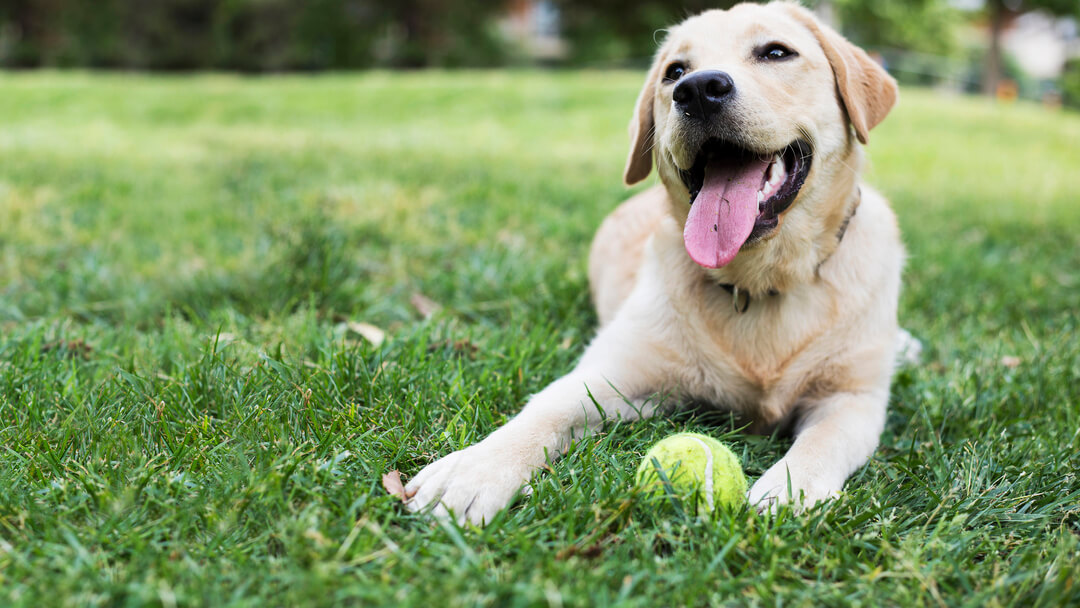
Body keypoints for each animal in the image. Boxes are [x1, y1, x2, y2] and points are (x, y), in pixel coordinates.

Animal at [401, 0, 907, 524]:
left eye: (775, 52)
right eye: (675, 72)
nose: (698, 90)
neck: (757, 281)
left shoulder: (853, 399)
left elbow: (823, 441)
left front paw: (789, 490)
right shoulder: (616, 374)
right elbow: (547, 408)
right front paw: (473, 470)